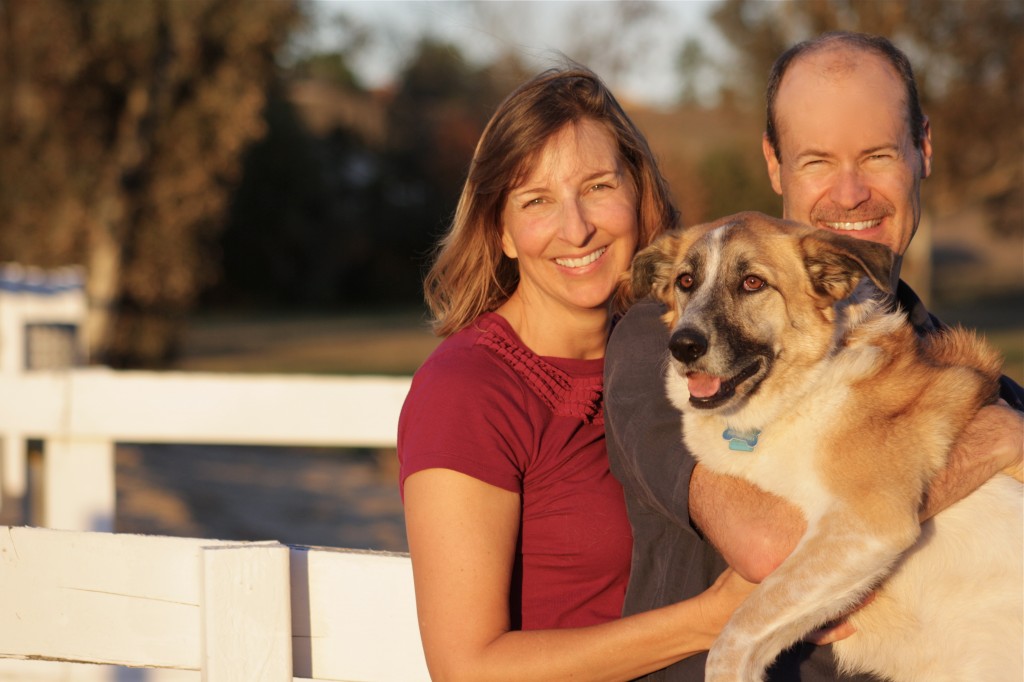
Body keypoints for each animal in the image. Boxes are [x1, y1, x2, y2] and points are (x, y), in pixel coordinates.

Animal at [618, 209, 1024, 675]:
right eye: (686, 281)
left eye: (752, 283)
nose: (682, 346)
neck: (795, 399)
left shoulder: (866, 525)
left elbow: (733, 636)